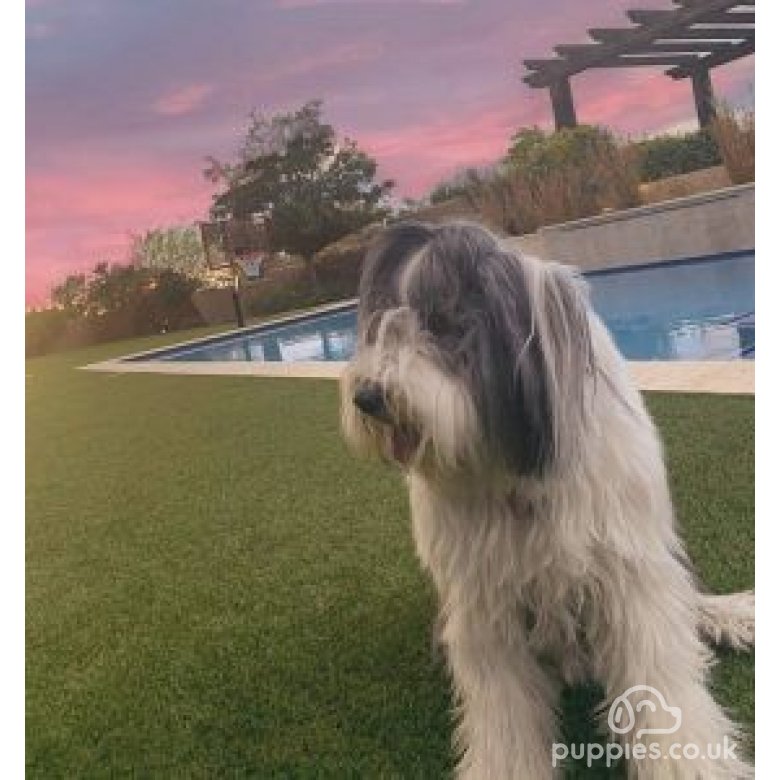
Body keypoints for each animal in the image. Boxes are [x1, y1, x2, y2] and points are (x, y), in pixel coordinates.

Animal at [342, 221, 756, 780]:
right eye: (384, 320)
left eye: (446, 323)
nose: (367, 397)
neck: (510, 467)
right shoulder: (483, 602)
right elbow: (504, 706)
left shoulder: (629, 570)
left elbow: (658, 674)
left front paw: (685, 761)